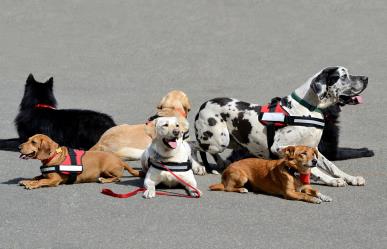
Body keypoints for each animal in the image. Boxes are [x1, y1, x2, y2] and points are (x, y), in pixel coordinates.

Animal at [197, 66, 370, 187]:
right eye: (343, 76)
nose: (366, 78)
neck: (306, 109)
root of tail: (204, 104)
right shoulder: (280, 147)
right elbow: (313, 168)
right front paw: (332, 180)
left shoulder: (315, 150)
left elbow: (333, 166)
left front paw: (351, 178)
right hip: (218, 140)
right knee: (194, 145)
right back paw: (199, 167)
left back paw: (220, 164)